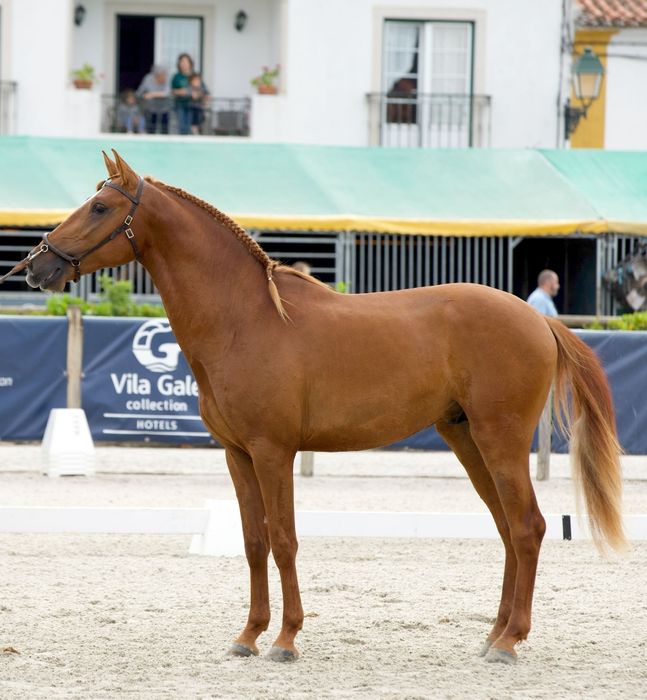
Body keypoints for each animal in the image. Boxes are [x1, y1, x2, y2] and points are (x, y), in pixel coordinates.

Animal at [7, 150, 627, 665]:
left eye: (100, 206)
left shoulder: (273, 451)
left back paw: (509, 642)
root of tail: (537, 319)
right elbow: (254, 541)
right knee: (506, 529)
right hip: (467, 440)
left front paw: (285, 640)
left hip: (501, 440)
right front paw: (248, 636)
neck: (246, 319)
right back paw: (493, 635)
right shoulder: (237, 454)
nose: (34, 266)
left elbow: (284, 540)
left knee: (527, 527)